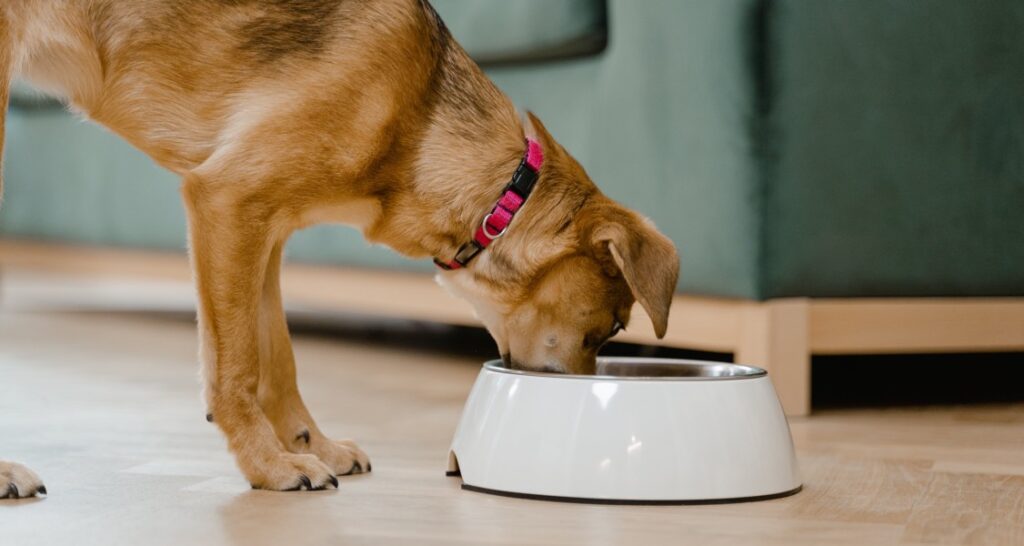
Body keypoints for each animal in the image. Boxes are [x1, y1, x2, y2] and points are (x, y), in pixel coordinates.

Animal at [0, 1, 679, 493]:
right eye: (610, 328)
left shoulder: (263, 232)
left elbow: (277, 359)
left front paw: (310, 446)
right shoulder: (226, 200)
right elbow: (237, 367)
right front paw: (268, 467)